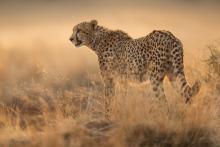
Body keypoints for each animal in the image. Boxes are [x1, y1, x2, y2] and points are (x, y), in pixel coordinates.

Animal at [69, 20, 201, 117]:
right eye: (73, 30)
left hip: (155, 78)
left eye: (79, 30)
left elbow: (109, 100)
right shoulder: (122, 80)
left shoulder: (109, 79)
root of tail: (170, 35)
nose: (70, 39)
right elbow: (122, 98)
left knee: (163, 101)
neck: (97, 40)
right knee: (187, 94)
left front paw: (107, 118)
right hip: (173, 74)